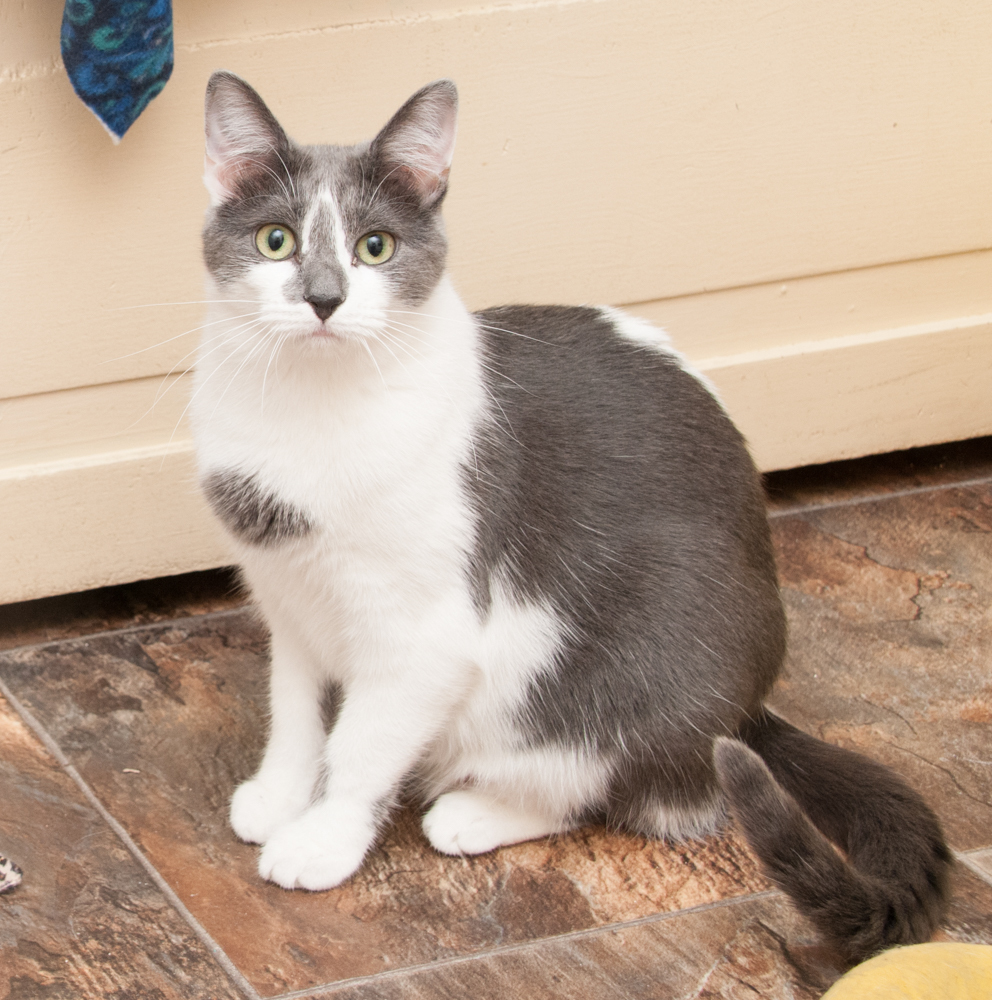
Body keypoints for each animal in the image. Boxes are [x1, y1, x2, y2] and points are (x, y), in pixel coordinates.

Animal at [196, 68, 952, 960]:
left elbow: (362, 744)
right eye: (275, 240)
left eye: (374, 246)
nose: (323, 298)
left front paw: (324, 839)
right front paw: (281, 794)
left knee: (643, 791)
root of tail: (751, 707)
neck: (307, 415)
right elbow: (295, 711)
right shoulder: (291, 603)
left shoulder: (427, 635)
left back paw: (475, 811)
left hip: (635, 670)